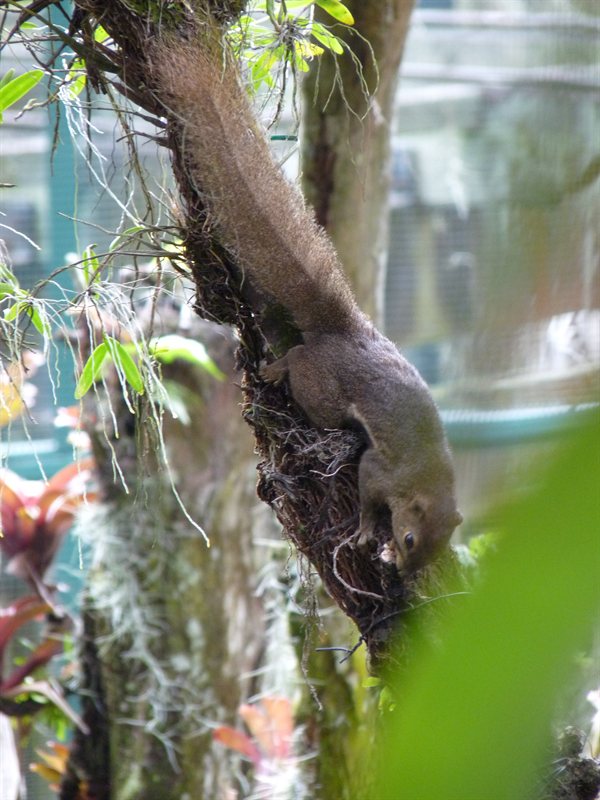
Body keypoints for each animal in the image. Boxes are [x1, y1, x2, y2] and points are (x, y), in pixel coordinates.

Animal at [150, 40, 462, 573]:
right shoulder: (381, 469)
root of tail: (347, 332)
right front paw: (366, 531)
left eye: (435, 547)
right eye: (411, 538)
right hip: (324, 394)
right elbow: (368, 490)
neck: (429, 475)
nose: (402, 568)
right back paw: (277, 369)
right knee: (300, 361)